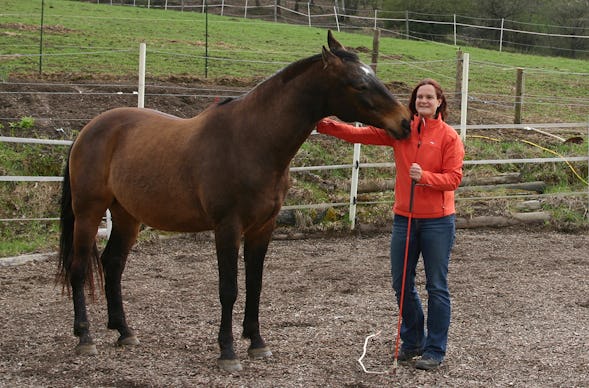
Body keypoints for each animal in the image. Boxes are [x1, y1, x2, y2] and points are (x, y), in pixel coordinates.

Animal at [58, 29, 408, 370]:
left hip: (127, 216)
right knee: (79, 267)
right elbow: (229, 289)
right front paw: (227, 351)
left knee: (112, 264)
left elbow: (255, 285)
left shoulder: (262, 228)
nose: (404, 121)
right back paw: (85, 336)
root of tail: (89, 130)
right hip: (88, 212)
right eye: (360, 84)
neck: (252, 140)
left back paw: (124, 331)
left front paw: (256, 342)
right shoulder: (228, 227)